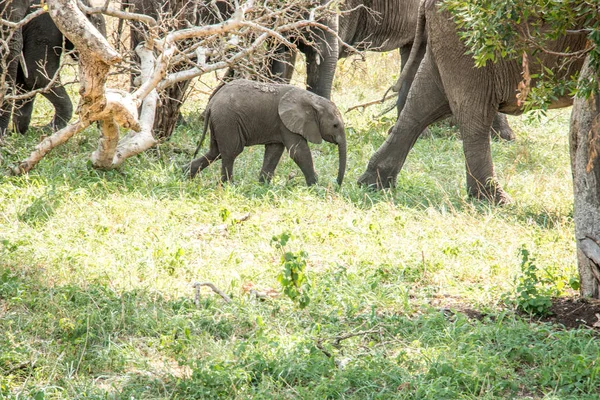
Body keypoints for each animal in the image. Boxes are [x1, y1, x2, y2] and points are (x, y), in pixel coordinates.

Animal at [12, 0, 105, 135]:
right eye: (97, 23)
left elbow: (25, 79)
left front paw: (19, 132)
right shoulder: (45, 23)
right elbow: (37, 76)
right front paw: (47, 131)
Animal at [188, 79, 346, 186]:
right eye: (335, 125)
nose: (336, 183)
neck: (313, 99)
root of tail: (211, 103)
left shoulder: (280, 125)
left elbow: (274, 152)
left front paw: (262, 186)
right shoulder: (286, 123)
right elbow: (298, 152)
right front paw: (315, 186)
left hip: (219, 122)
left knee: (215, 152)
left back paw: (185, 175)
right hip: (227, 120)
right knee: (230, 152)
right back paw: (229, 185)